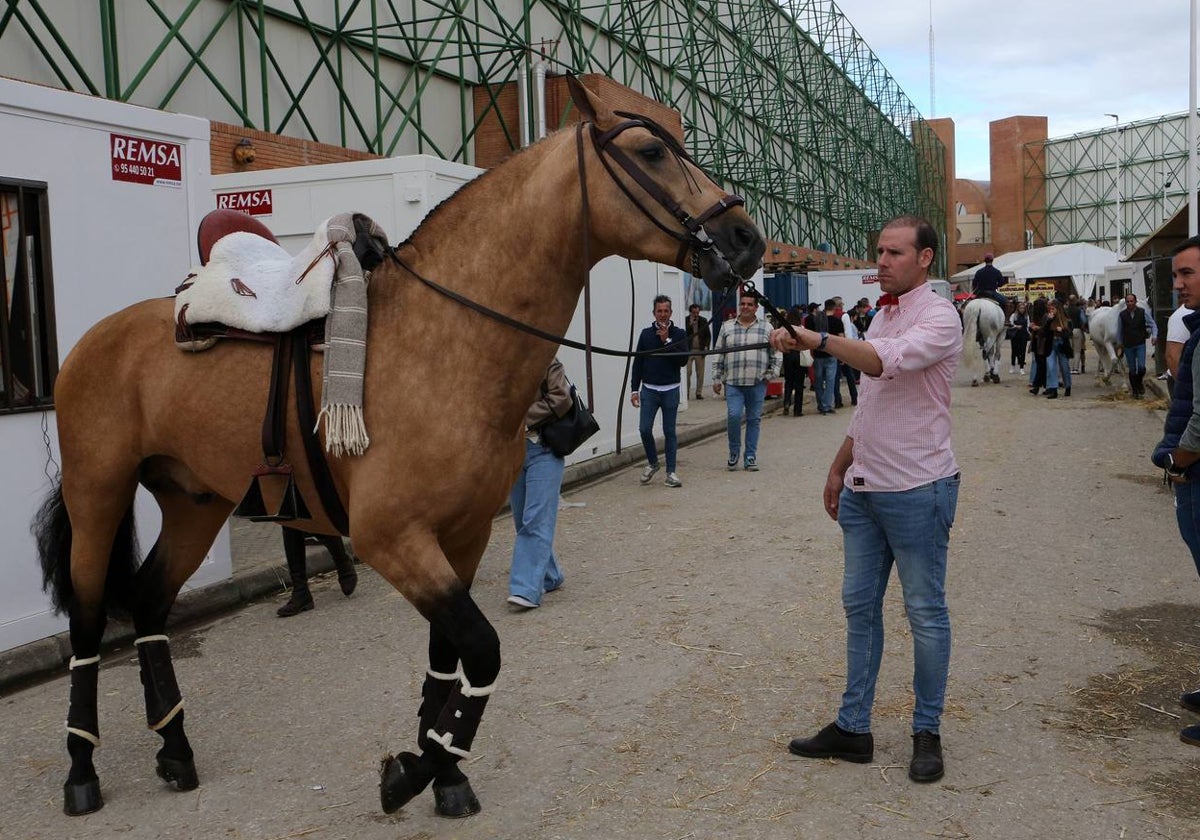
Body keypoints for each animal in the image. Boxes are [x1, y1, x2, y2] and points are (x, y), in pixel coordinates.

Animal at [32, 75, 763, 816]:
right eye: (651, 151)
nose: (745, 237)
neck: (443, 339)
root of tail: (101, 336)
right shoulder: (391, 537)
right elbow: (483, 649)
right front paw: (411, 773)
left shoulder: (463, 534)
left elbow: (448, 658)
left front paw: (444, 771)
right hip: (98, 495)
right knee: (89, 619)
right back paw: (80, 769)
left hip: (195, 501)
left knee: (150, 602)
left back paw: (175, 750)